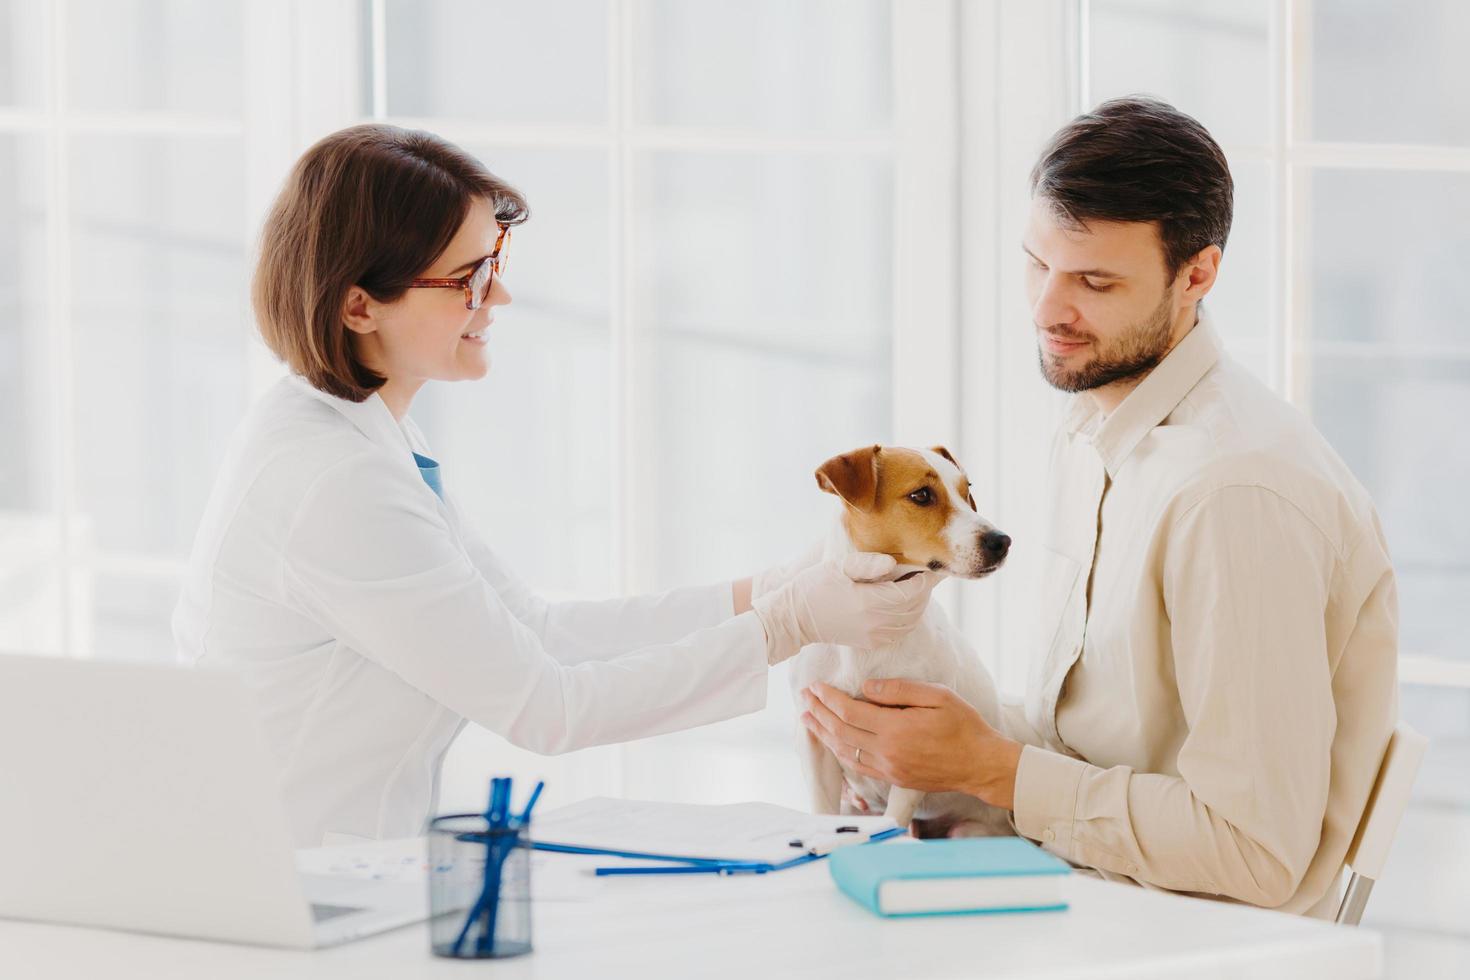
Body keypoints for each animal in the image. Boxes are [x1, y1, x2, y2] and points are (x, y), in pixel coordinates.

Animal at [787, 443, 1017, 834]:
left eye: (966, 491)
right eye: (922, 495)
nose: (1001, 541)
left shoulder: (912, 743)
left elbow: (895, 813)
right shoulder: (815, 739)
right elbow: (822, 808)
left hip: (972, 828)